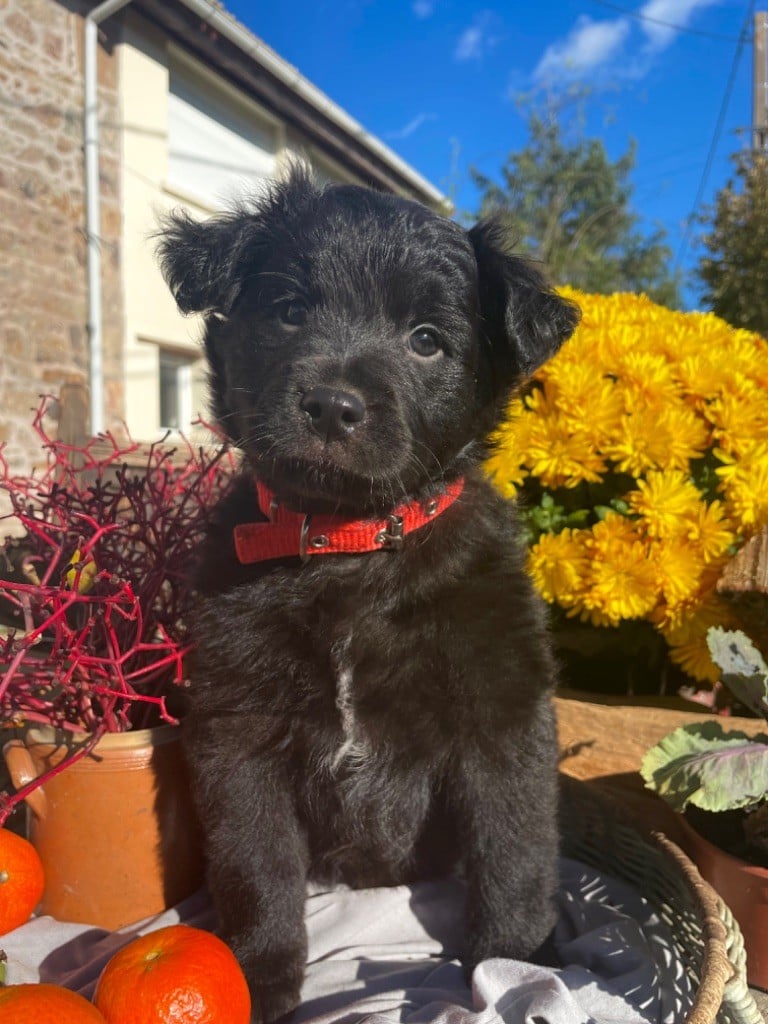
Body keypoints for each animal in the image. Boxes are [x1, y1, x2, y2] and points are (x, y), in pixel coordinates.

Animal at [157, 169, 577, 1024]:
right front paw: (260, 977)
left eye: (427, 340)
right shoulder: (236, 730)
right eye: (289, 311)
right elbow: (256, 866)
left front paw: (520, 966)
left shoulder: (503, 717)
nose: (331, 405)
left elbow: (515, 853)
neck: (348, 548)